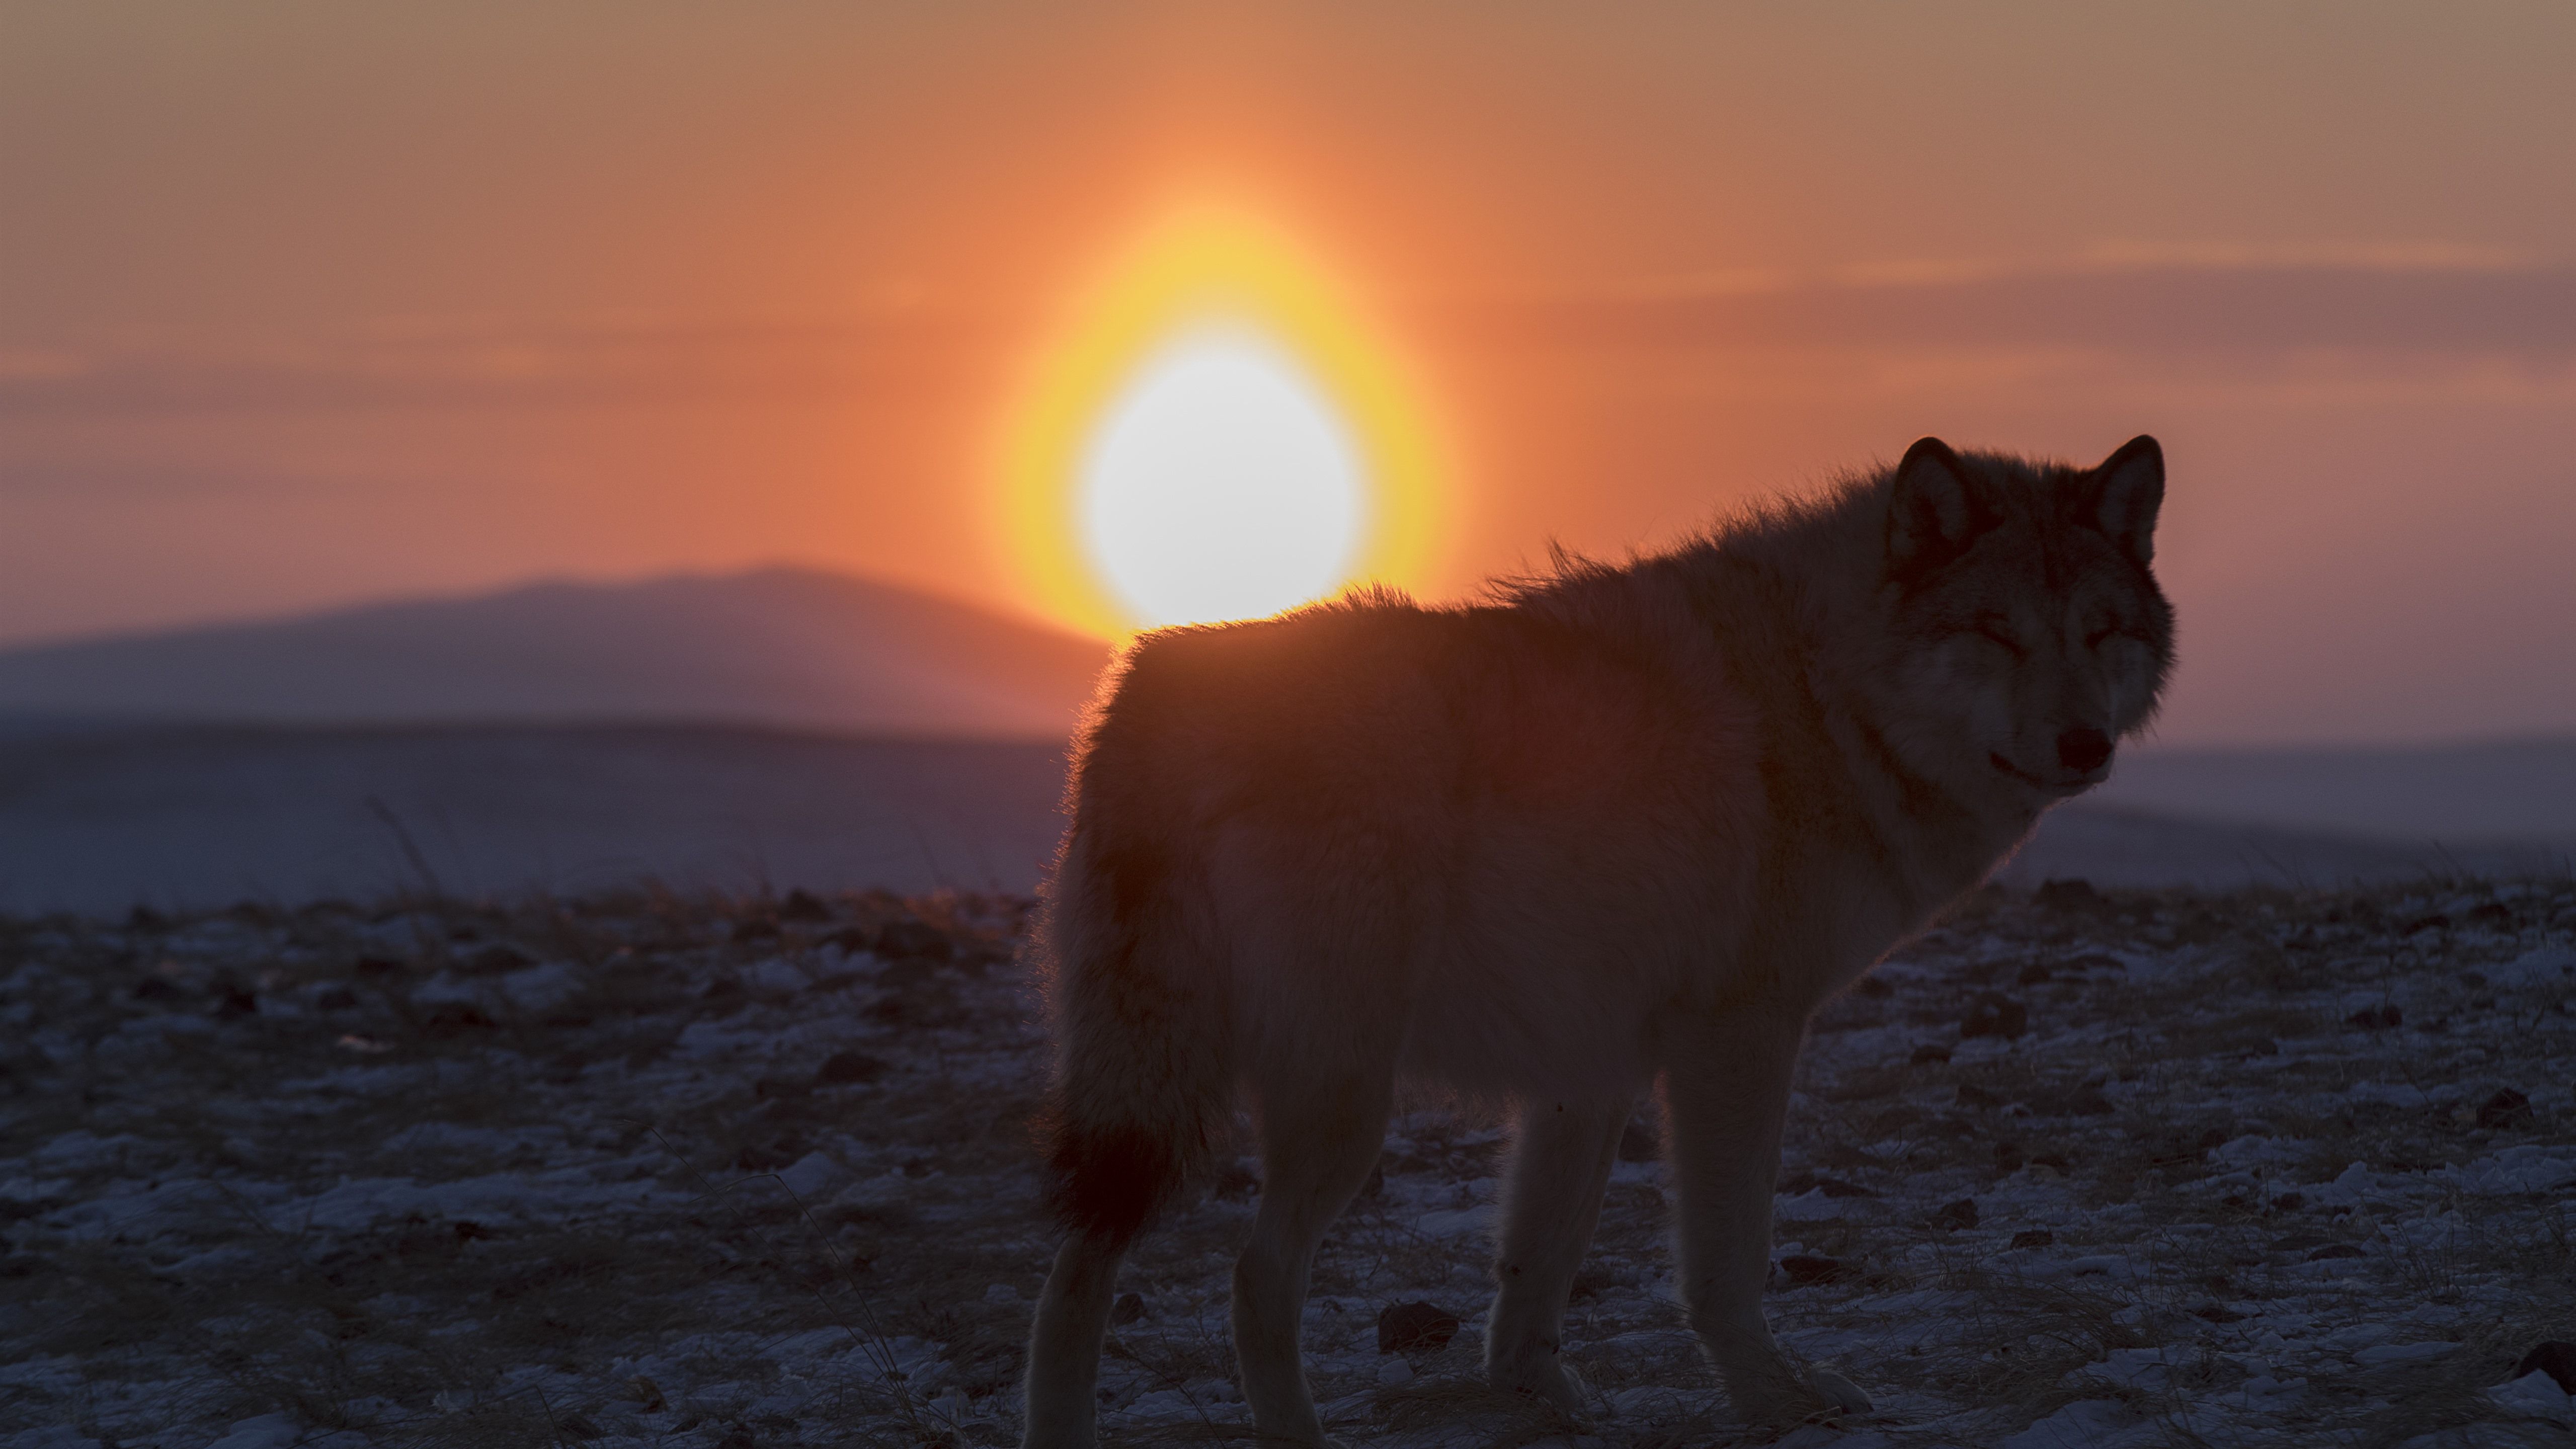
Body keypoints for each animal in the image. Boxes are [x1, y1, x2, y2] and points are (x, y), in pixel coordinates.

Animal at [1020, 435, 2173, 1444]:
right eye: (1997, 631)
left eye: (2103, 632)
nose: (2085, 743)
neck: (1825, 695)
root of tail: (1156, 684)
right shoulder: (1739, 1039)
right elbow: (1727, 1261)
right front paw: (1775, 1399)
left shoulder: (1591, 1062)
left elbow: (1538, 1265)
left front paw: (1538, 1397)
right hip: (1335, 1102)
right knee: (1250, 1278)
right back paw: (1300, 1436)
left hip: (1159, 1087)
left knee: (1072, 1272)